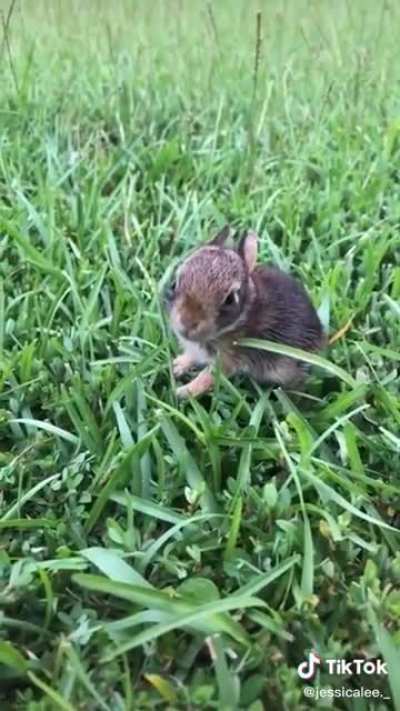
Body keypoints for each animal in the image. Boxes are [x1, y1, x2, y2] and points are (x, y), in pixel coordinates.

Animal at [164, 225, 325, 398]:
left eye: (230, 299)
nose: (187, 323)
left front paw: (183, 392)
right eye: (173, 284)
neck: (240, 319)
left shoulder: (227, 360)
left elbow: (208, 377)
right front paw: (177, 365)